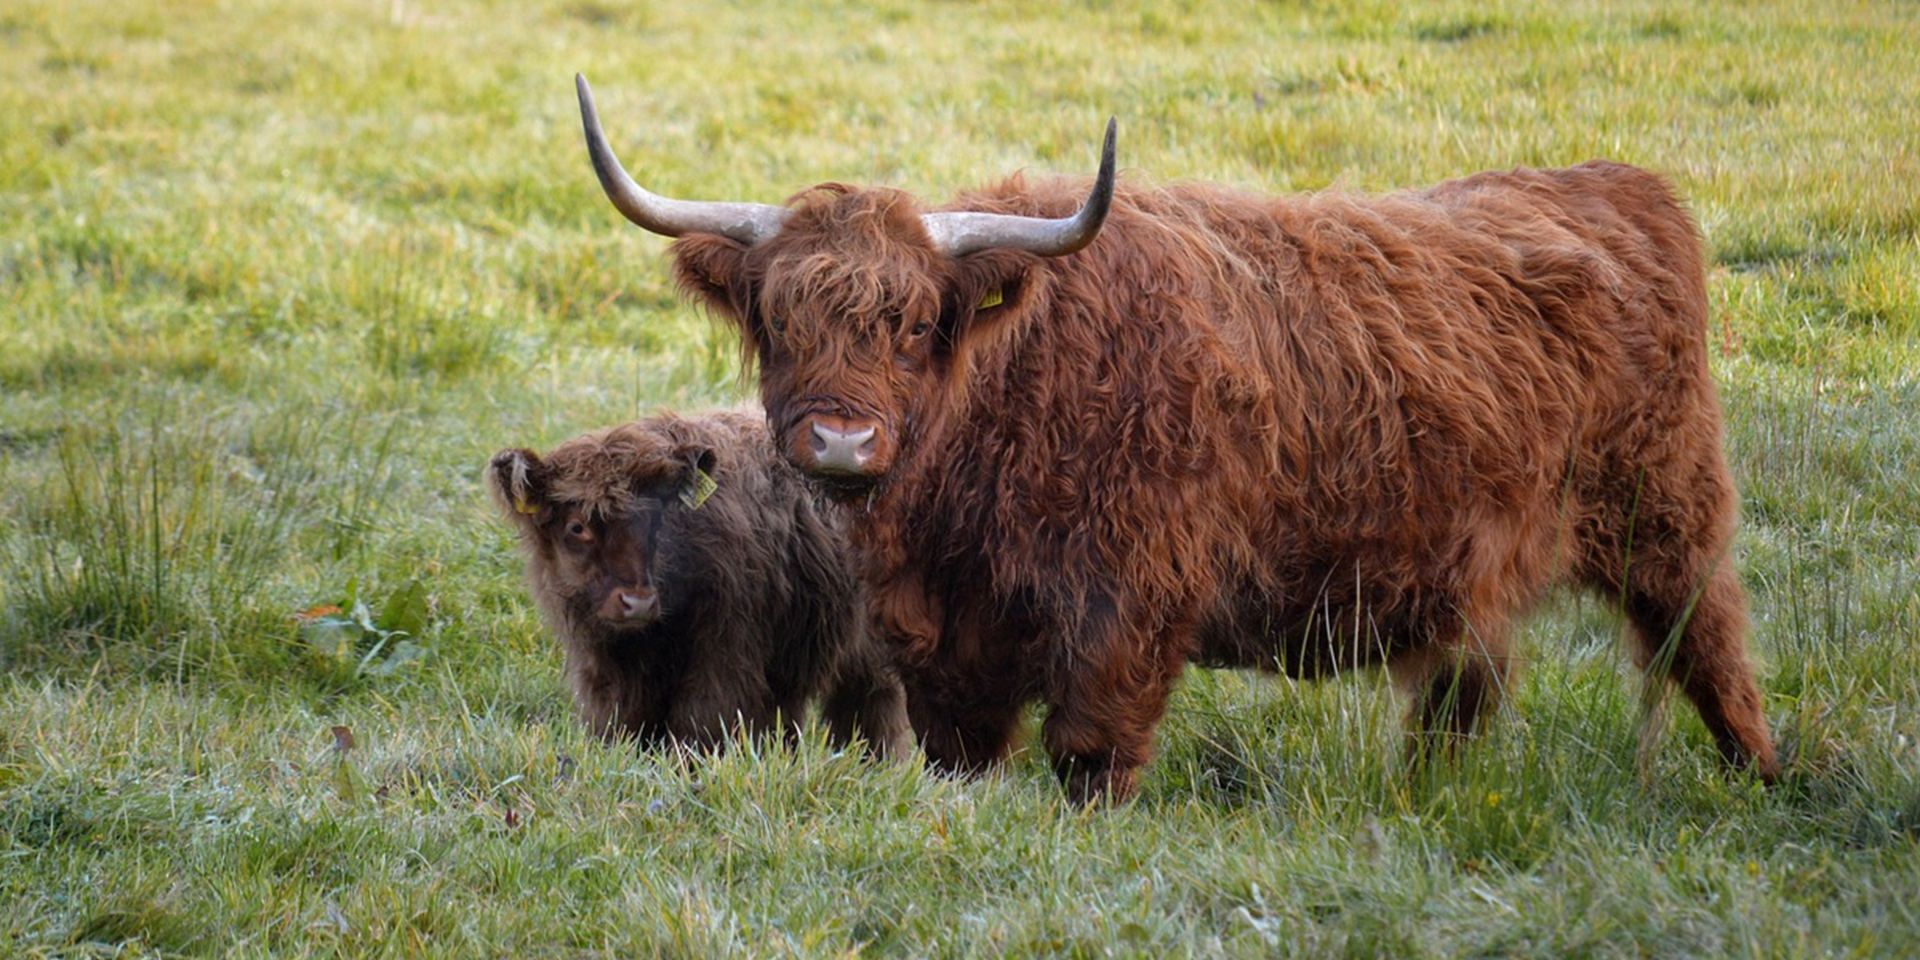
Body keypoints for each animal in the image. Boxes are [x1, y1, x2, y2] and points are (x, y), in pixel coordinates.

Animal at [489, 409, 912, 761]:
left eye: (656, 520)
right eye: (577, 527)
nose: (637, 602)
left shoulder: (725, 658)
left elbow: (699, 728)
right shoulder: (603, 674)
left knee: (873, 711)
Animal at [573, 74, 1777, 803]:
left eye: (915, 325)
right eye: (779, 319)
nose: (837, 444)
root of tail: (1614, 186)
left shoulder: (1130, 603)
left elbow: (1090, 755)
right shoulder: (945, 641)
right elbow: (961, 756)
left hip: (1669, 514)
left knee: (1711, 645)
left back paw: (1767, 779)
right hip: (1478, 570)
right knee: (1463, 690)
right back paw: (1420, 797)